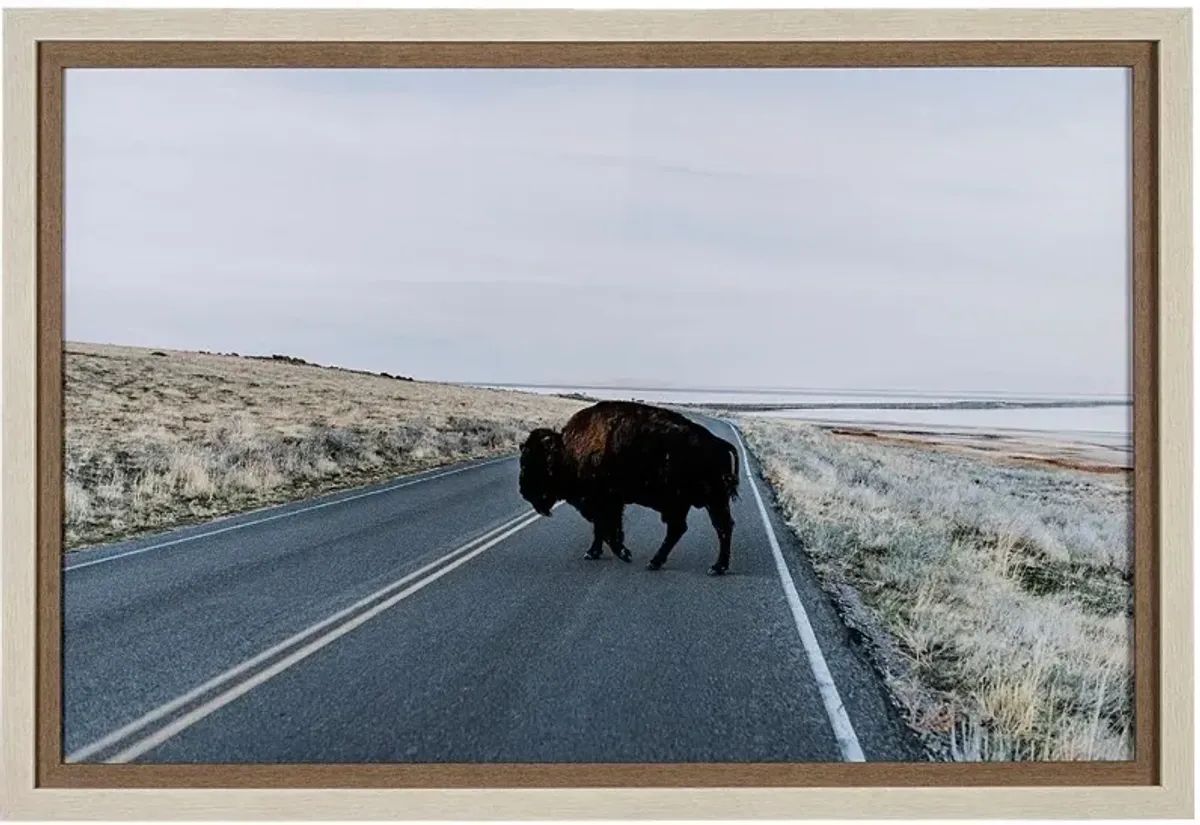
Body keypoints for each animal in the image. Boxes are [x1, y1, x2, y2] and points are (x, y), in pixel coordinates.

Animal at [518, 400, 740, 575]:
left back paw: (715, 567)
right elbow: (601, 529)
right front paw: (593, 553)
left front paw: (624, 553)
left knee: (719, 527)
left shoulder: (605, 502)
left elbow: (608, 530)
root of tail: (720, 444)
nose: (523, 491)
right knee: (686, 528)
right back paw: (657, 562)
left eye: (531, 462)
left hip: (708, 500)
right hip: (693, 503)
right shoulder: (606, 504)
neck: (566, 451)